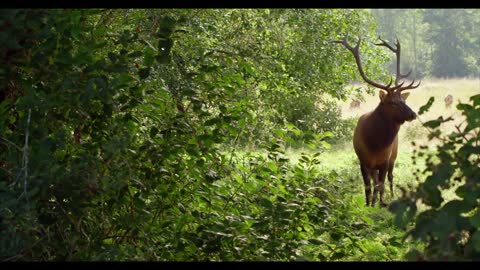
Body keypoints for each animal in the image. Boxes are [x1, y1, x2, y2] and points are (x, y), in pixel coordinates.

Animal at [336, 33, 422, 207]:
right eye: (393, 103)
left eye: (403, 100)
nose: (413, 114)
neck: (375, 144)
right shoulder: (363, 161)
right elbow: (368, 186)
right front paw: (368, 205)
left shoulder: (385, 160)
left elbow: (380, 184)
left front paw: (379, 203)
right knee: (375, 181)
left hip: (393, 157)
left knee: (389, 178)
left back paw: (388, 198)